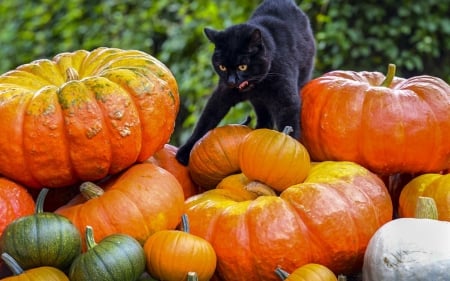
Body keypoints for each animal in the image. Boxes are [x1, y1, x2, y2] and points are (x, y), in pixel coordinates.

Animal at [174, 0, 314, 165]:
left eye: (243, 66)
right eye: (222, 66)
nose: (232, 80)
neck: (257, 86)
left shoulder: (286, 98)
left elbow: (289, 124)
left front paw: (287, 150)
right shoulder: (222, 94)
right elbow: (206, 121)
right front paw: (185, 151)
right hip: (258, 102)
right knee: (263, 116)